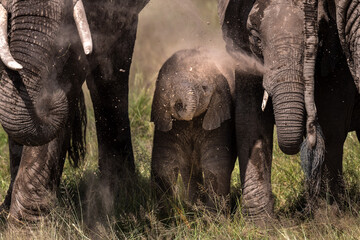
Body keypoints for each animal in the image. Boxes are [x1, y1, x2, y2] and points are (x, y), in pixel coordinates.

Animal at [151, 48, 236, 210]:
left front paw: (214, 215)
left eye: (204, 88)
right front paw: (166, 212)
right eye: (167, 87)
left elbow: (215, 163)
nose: (178, 104)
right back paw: (193, 208)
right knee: (188, 169)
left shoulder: (219, 115)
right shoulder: (164, 120)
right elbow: (164, 163)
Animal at [218, 0, 358, 219]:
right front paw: (260, 223)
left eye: (319, 38)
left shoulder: (336, 61)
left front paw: (326, 219)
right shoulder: (245, 58)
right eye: (256, 38)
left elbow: (331, 124)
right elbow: (249, 122)